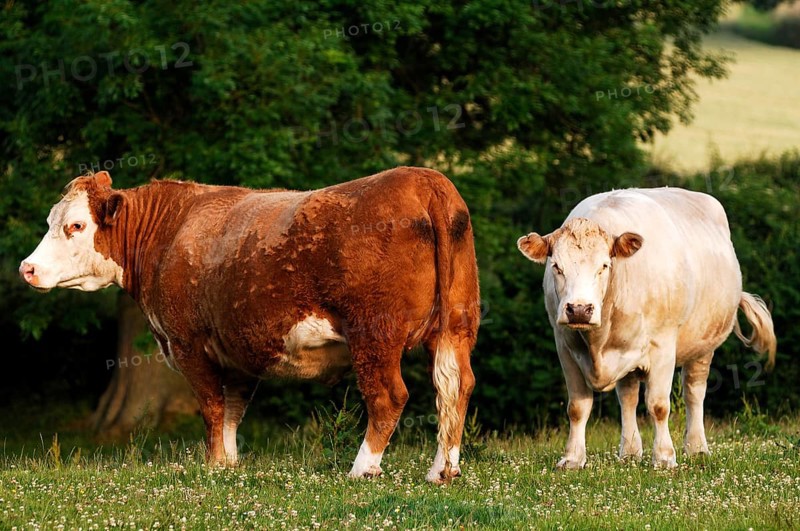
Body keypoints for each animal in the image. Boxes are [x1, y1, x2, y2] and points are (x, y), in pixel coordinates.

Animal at [20, 167, 479, 483]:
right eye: (50, 222)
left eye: (75, 225)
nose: (28, 268)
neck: (169, 233)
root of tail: (423, 179)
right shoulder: (236, 351)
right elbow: (231, 413)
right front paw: (229, 465)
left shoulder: (188, 343)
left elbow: (211, 407)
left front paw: (213, 465)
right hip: (456, 326)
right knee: (454, 386)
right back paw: (443, 471)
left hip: (374, 333)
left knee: (389, 396)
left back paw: (362, 469)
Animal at [516, 187, 776, 469]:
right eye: (556, 266)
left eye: (604, 266)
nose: (579, 309)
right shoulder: (565, 346)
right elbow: (577, 407)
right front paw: (572, 459)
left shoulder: (663, 346)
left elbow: (658, 405)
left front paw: (664, 457)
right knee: (628, 398)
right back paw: (630, 451)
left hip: (704, 346)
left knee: (694, 393)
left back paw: (696, 447)